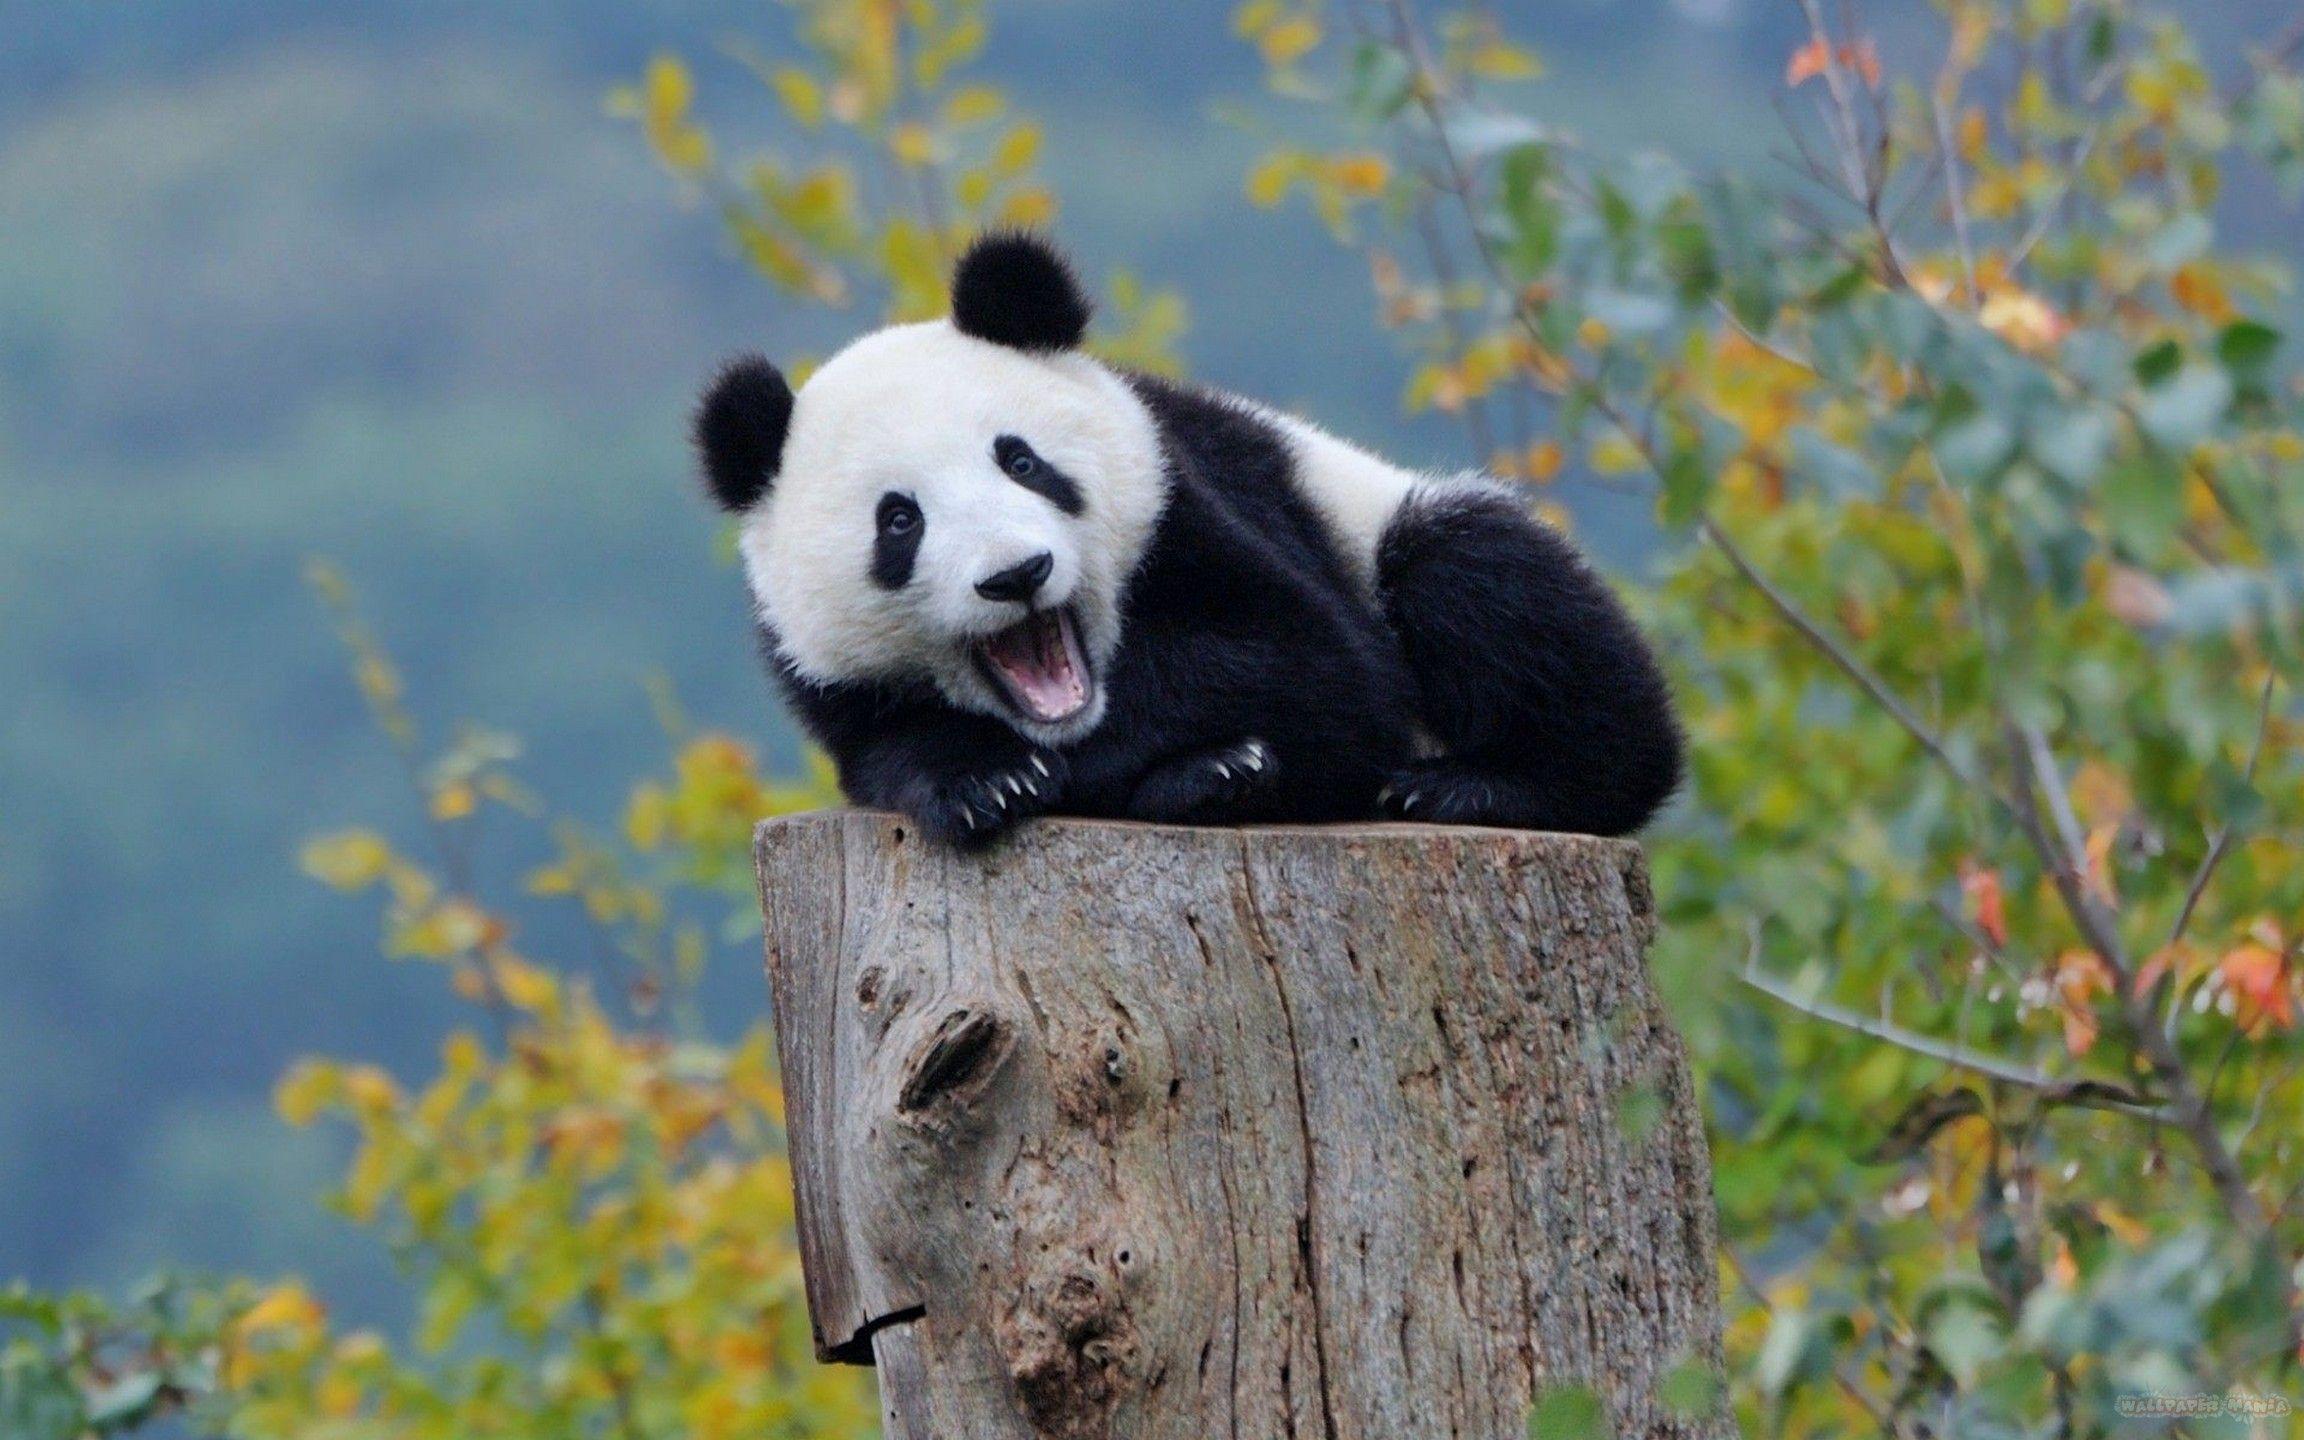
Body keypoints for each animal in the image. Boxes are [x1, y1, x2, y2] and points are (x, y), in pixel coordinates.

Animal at [694, 232, 1681, 849]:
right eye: (900, 520)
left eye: (1022, 460)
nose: (1017, 574)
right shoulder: (825, 676)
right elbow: (887, 751)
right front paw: (986, 783)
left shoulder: (1198, 502)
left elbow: (1314, 668)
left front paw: (1195, 761)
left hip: (1383, 522)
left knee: (1483, 581)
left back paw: (1471, 785)